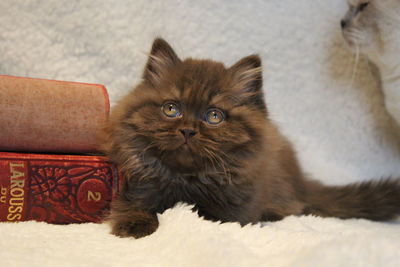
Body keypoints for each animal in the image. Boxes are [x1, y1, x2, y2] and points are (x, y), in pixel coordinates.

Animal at [102, 37, 400, 239]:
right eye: (171, 109)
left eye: (214, 116)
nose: (187, 130)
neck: (187, 179)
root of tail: (301, 177)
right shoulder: (135, 186)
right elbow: (132, 206)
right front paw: (134, 225)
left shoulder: (238, 206)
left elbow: (224, 217)